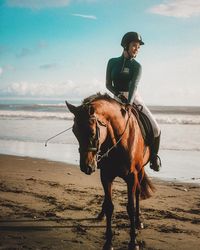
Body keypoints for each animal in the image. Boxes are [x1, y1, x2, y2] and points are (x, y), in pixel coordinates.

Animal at [65, 93, 155, 250]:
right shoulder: (106, 176)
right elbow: (109, 206)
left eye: (92, 132)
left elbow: (130, 207)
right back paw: (100, 215)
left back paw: (138, 222)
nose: (86, 166)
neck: (118, 141)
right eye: (74, 132)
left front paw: (133, 242)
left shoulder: (132, 177)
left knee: (137, 193)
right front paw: (108, 242)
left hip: (140, 171)